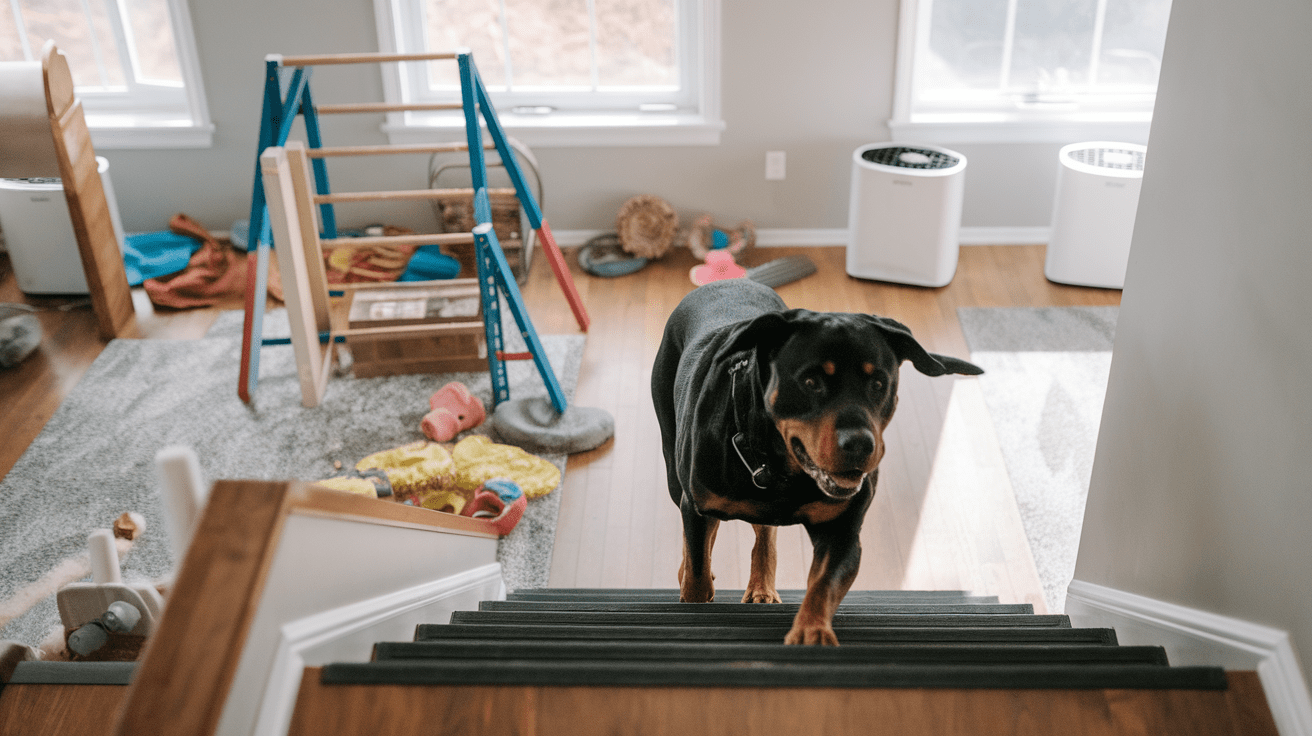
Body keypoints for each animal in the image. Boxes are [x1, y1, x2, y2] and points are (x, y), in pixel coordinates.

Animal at [650, 279, 981, 642]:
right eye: (810, 382)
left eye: (879, 383)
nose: (859, 444)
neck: (782, 467)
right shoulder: (699, 501)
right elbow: (697, 568)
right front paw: (694, 597)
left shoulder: (842, 527)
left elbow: (825, 582)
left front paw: (812, 631)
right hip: (673, 471)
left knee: (765, 529)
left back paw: (762, 588)